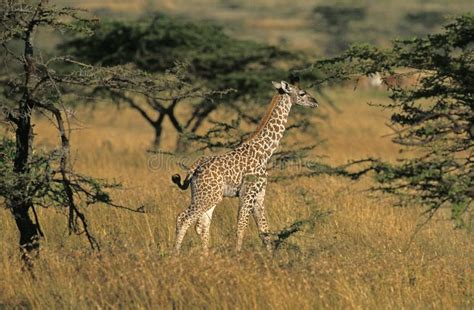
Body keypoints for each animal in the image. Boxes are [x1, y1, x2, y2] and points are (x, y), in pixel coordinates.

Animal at [170, 80, 318, 254]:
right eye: (302, 93)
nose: (315, 102)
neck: (264, 152)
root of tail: (194, 168)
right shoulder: (248, 192)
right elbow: (241, 226)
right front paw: (238, 254)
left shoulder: (259, 194)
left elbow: (264, 230)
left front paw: (270, 257)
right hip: (208, 196)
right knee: (183, 219)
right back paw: (175, 255)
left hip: (205, 195)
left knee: (201, 226)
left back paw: (205, 256)